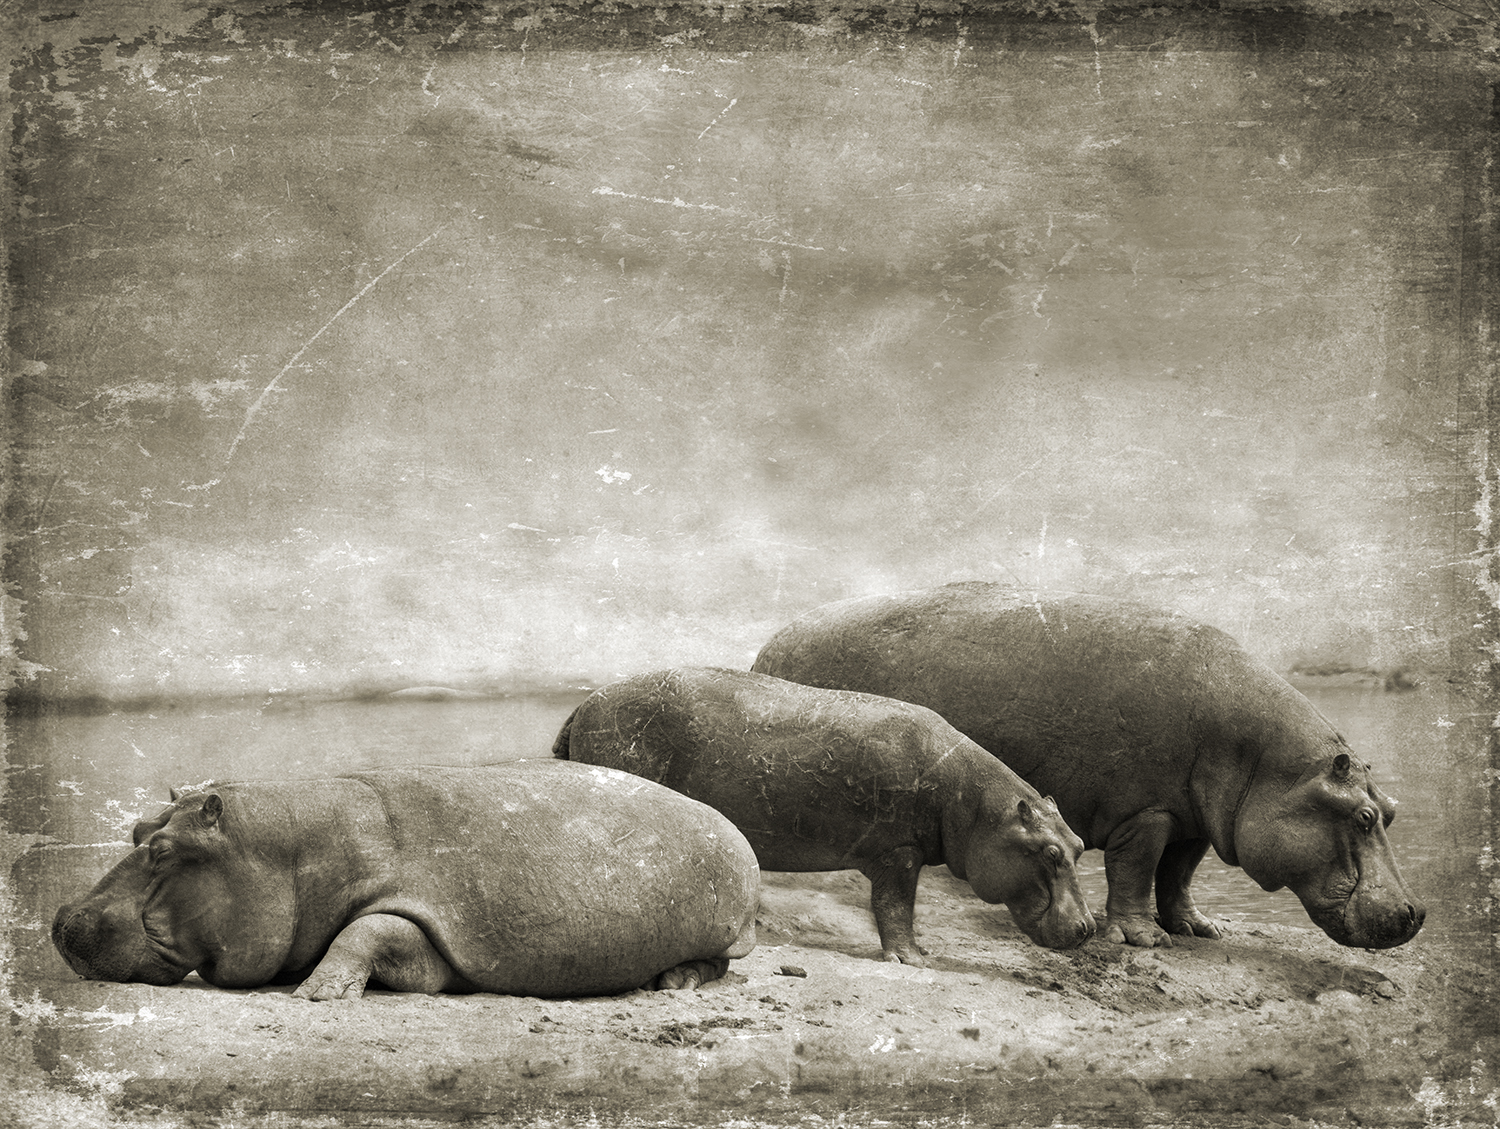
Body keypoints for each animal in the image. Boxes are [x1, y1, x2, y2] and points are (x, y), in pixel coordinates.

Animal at [55, 758, 762, 995]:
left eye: (165, 851)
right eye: (137, 829)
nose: (62, 920)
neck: (289, 851)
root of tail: (731, 827)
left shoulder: (426, 918)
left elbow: (368, 931)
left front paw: (317, 993)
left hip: (725, 928)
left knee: (719, 962)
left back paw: (672, 984)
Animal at [552, 665, 1092, 965]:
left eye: (1079, 846)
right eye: (1049, 853)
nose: (1089, 928)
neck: (977, 807)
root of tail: (585, 702)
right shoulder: (898, 852)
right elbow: (895, 907)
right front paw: (912, 961)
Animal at [756, 581, 1422, 953]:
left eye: (1390, 810)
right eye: (1363, 817)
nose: (1416, 914)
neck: (1268, 763)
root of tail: (770, 643)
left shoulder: (1196, 820)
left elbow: (1179, 876)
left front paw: (1199, 930)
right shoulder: (1146, 813)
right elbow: (1137, 872)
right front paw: (1143, 939)